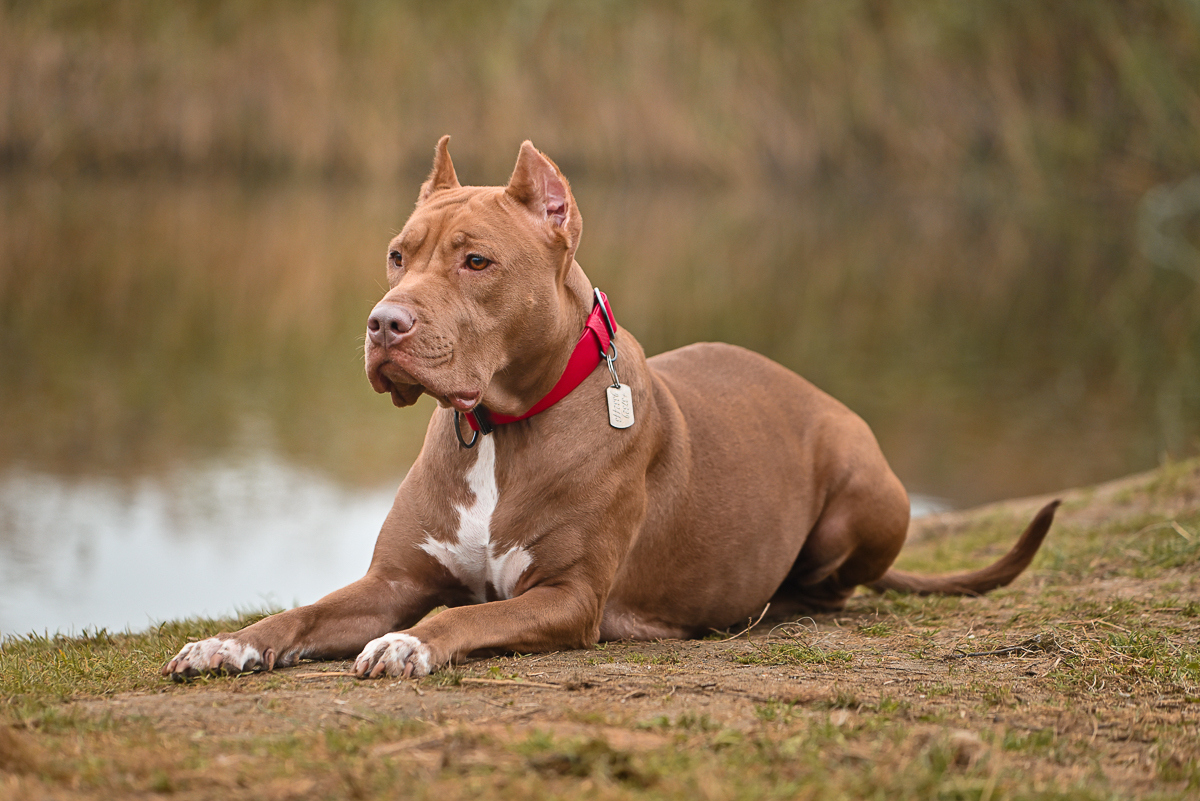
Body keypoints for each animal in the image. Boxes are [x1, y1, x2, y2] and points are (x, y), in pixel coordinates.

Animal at [162, 137, 1060, 681]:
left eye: (476, 261)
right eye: (397, 254)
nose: (385, 324)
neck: (499, 430)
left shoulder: (568, 597)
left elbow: (461, 614)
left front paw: (411, 641)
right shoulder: (391, 578)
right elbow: (304, 610)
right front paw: (225, 642)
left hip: (865, 491)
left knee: (833, 585)